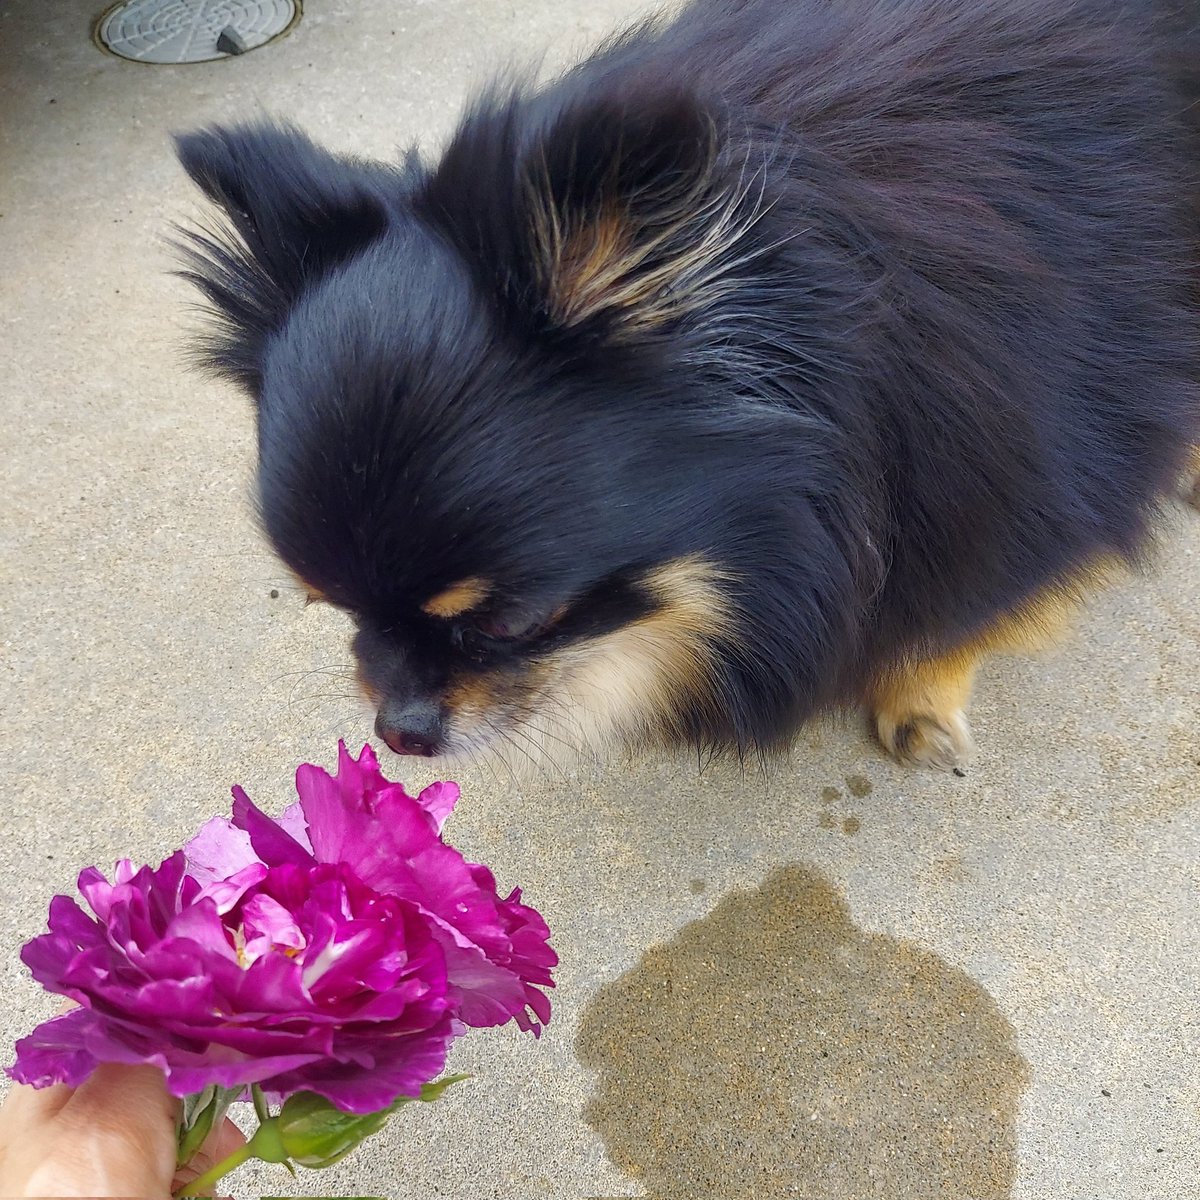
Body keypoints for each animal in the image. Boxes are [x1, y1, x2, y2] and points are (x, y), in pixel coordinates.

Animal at [175, 0, 1200, 768]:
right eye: (328, 605)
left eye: (514, 622)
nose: (401, 732)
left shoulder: (1044, 470)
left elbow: (966, 611)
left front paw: (917, 695)